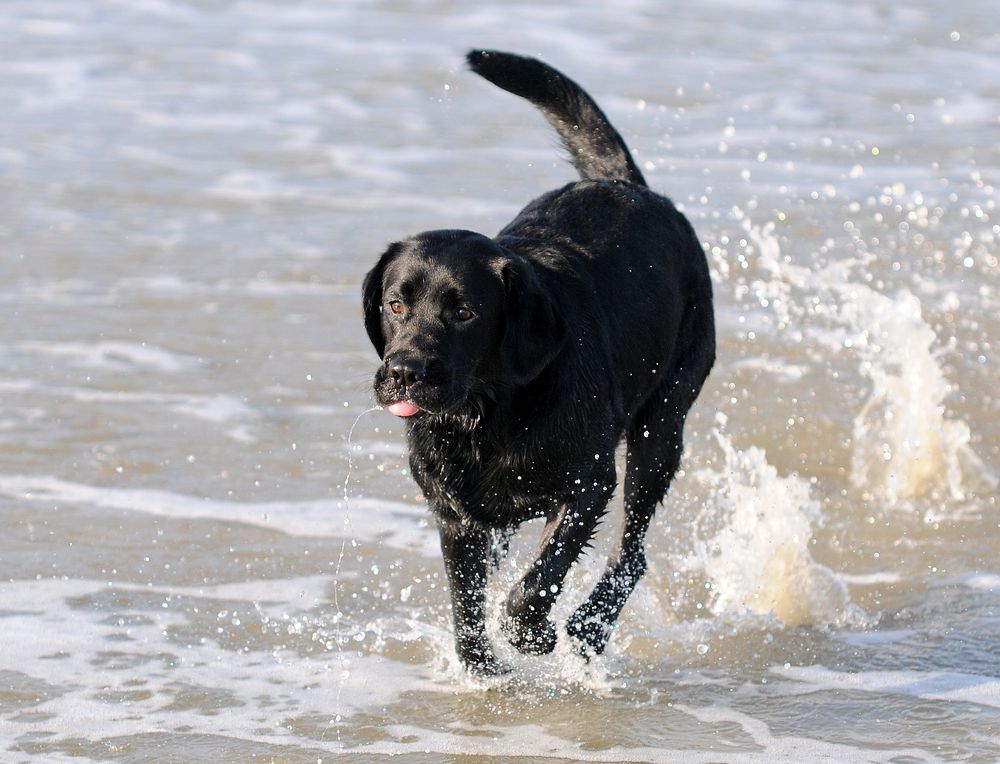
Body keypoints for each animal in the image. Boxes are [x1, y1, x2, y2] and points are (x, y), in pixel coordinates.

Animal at [364, 50, 716, 676]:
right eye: (395, 303)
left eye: (465, 311)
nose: (403, 372)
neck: (487, 416)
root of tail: (629, 185)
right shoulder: (456, 514)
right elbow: (466, 607)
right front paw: (485, 668)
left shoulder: (588, 484)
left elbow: (535, 583)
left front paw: (530, 634)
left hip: (662, 425)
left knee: (633, 552)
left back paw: (589, 626)